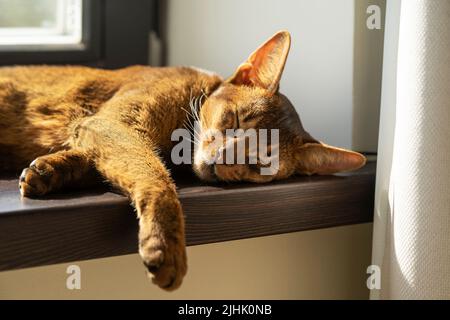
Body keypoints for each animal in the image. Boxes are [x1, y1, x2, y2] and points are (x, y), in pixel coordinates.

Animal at [0, 31, 366, 290]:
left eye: (260, 164)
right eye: (235, 119)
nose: (221, 160)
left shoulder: (98, 130)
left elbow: (99, 161)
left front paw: (48, 171)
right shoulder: (110, 124)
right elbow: (156, 177)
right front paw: (165, 245)